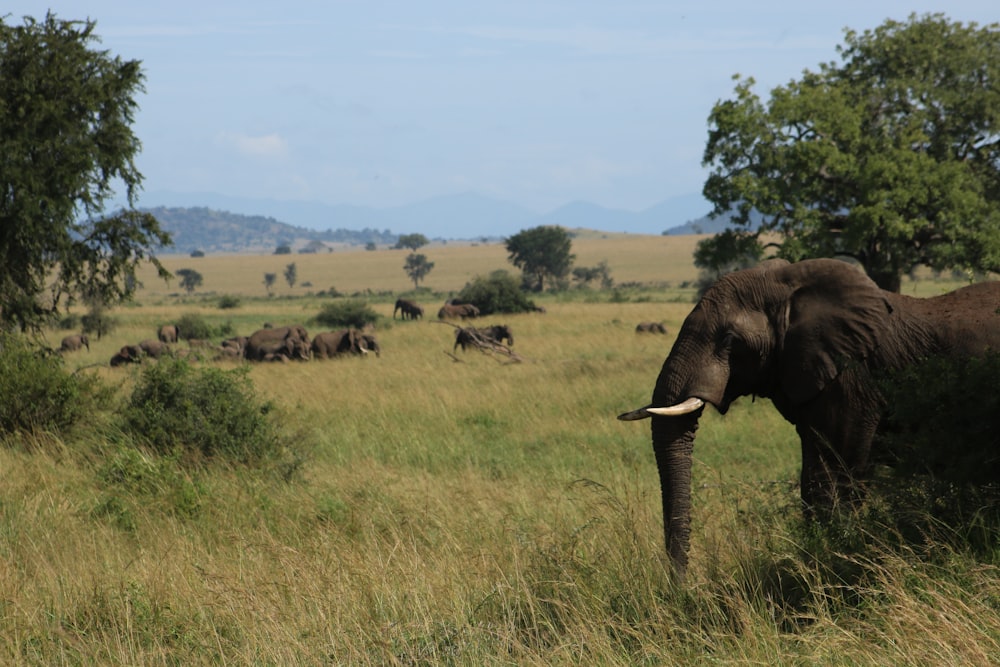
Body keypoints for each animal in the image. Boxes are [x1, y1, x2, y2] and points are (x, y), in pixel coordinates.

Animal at [616, 258, 1000, 580]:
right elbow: (813, 476)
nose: (681, 586)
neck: (788, 284)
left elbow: (836, 474)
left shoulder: (851, 378)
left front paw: (835, 557)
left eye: (729, 340)